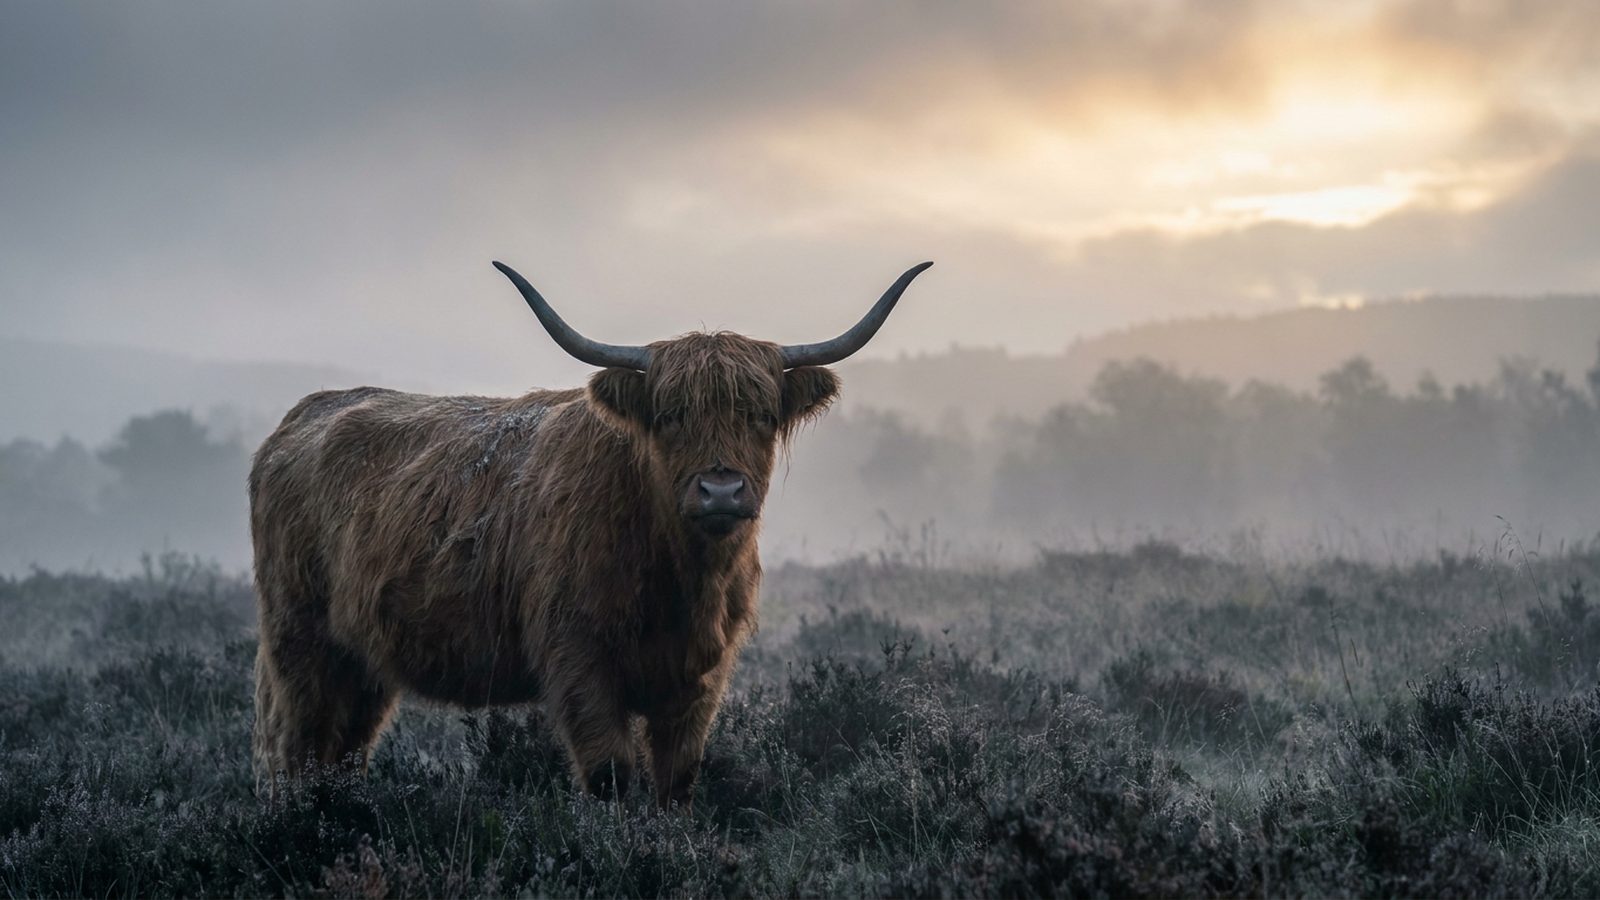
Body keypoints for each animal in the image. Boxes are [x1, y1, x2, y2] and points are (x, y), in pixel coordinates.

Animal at [249, 259, 932, 807]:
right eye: (670, 415)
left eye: (761, 416)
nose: (720, 491)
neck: (685, 580)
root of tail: (302, 415)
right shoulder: (579, 660)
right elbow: (610, 775)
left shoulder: (700, 679)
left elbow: (676, 780)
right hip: (300, 640)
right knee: (296, 741)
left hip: (363, 659)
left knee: (345, 746)